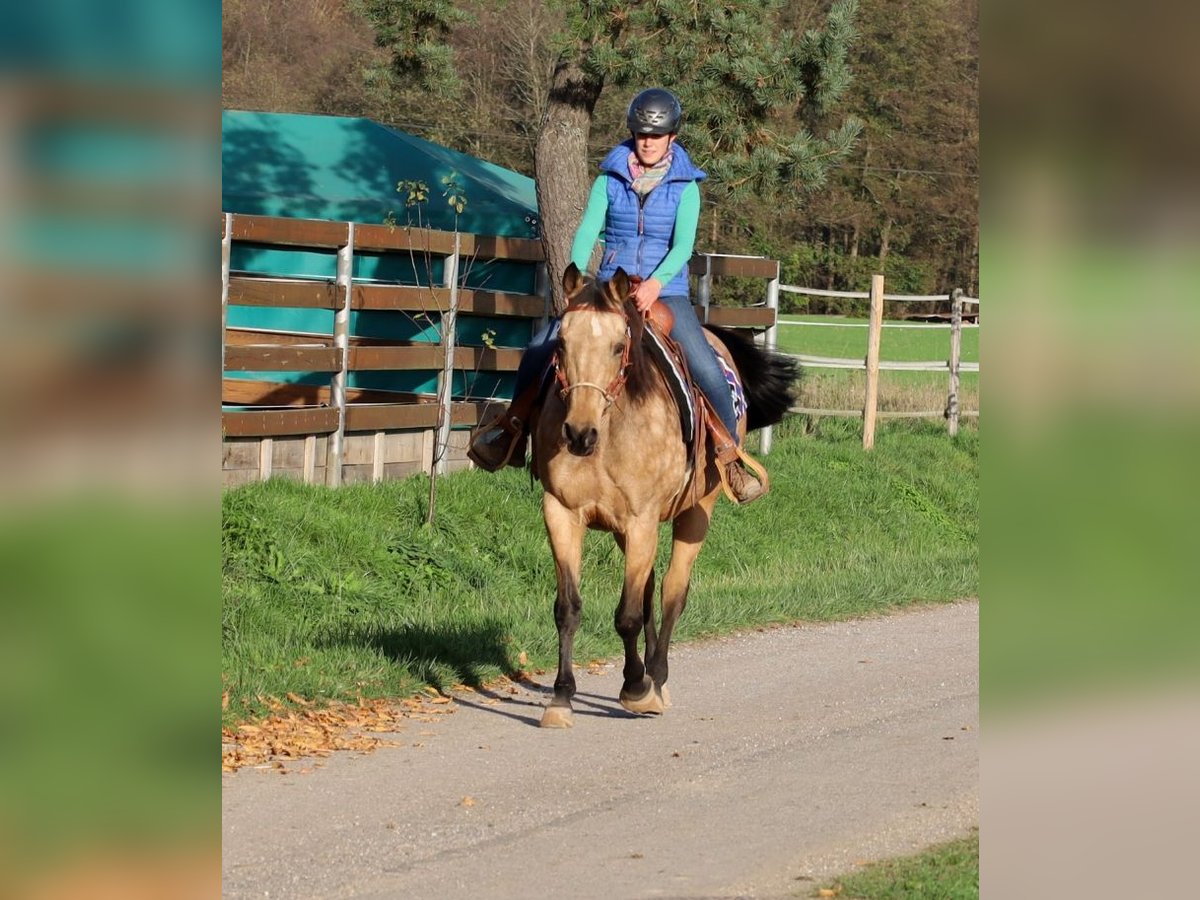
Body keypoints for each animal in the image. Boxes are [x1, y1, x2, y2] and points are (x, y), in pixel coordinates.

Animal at [532, 264, 796, 729]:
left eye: (619, 346)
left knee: (673, 592)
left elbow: (627, 615)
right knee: (651, 591)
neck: (609, 432)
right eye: (561, 343)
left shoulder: (640, 520)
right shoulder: (562, 514)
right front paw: (562, 697)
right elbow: (569, 608)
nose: (579, 434)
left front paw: (638, 689)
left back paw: (656, 678)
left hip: (695, 515)